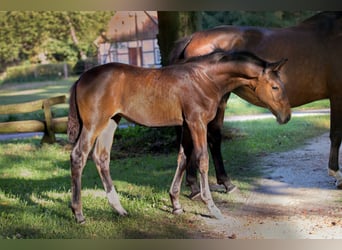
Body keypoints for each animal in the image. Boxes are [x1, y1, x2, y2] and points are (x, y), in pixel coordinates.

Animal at [66, 50, 288, 223]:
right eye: (275, 87)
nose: (286, 116)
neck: (205, 79)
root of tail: (81, 78)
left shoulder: (186, 125)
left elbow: (183, 158)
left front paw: (176, 204)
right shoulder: (197, 123)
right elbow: (202, 160)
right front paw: (212, 207)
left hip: (111, 122)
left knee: (101, 157)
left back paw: (119, 209)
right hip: (94, 123)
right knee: (79, 155)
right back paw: (79, 214)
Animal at [170, 10, 342, 193]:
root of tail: (193, 37)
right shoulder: (338, 96)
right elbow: (336, 134)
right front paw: (337, 175)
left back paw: (196, 185)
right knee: (211, 136)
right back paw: (220, 183)